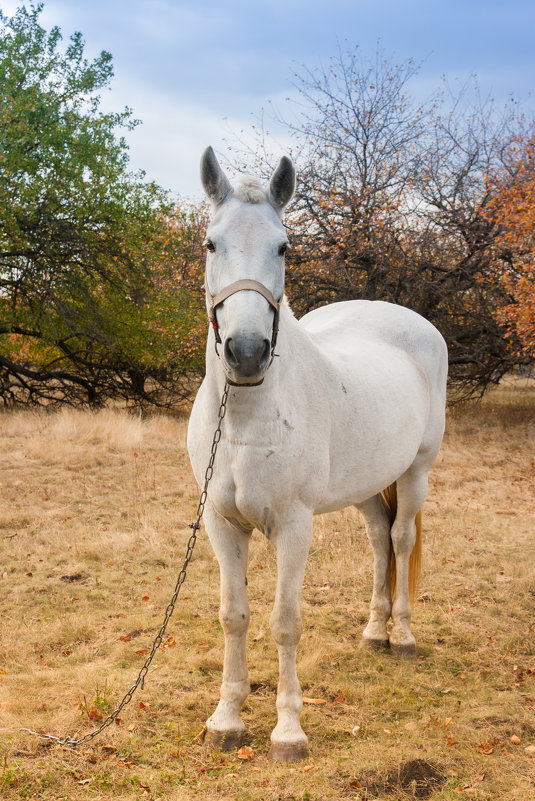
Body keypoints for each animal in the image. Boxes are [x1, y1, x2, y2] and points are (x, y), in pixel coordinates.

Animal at [188, 145, 448, 764]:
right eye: (211, 243)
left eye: (283, 247)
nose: (247, 352)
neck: (245, 419)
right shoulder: (221, 524)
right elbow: (233, 616)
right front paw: (227, 719)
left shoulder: (294, 526)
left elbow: (285, 622)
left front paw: (288, 731)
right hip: (366, 486)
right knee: (380, 538)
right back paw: (374, 633)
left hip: (416, 472)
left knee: (402, 540)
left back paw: (403, 636)